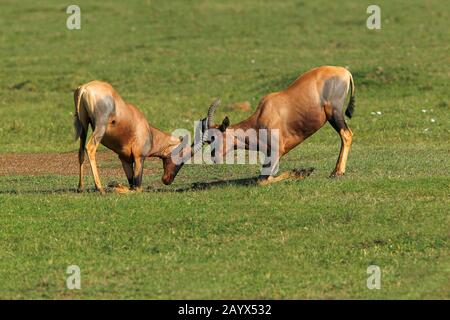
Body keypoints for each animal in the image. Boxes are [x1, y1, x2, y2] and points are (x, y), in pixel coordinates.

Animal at [200, 65, 356, 185]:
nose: (214, 158)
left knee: (346, 134)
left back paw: (337, 173)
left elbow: (263, 180)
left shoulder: (277, 151)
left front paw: (303, 172)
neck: (263, 115)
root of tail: (344, 71)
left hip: (334, 113)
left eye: (215, 138)